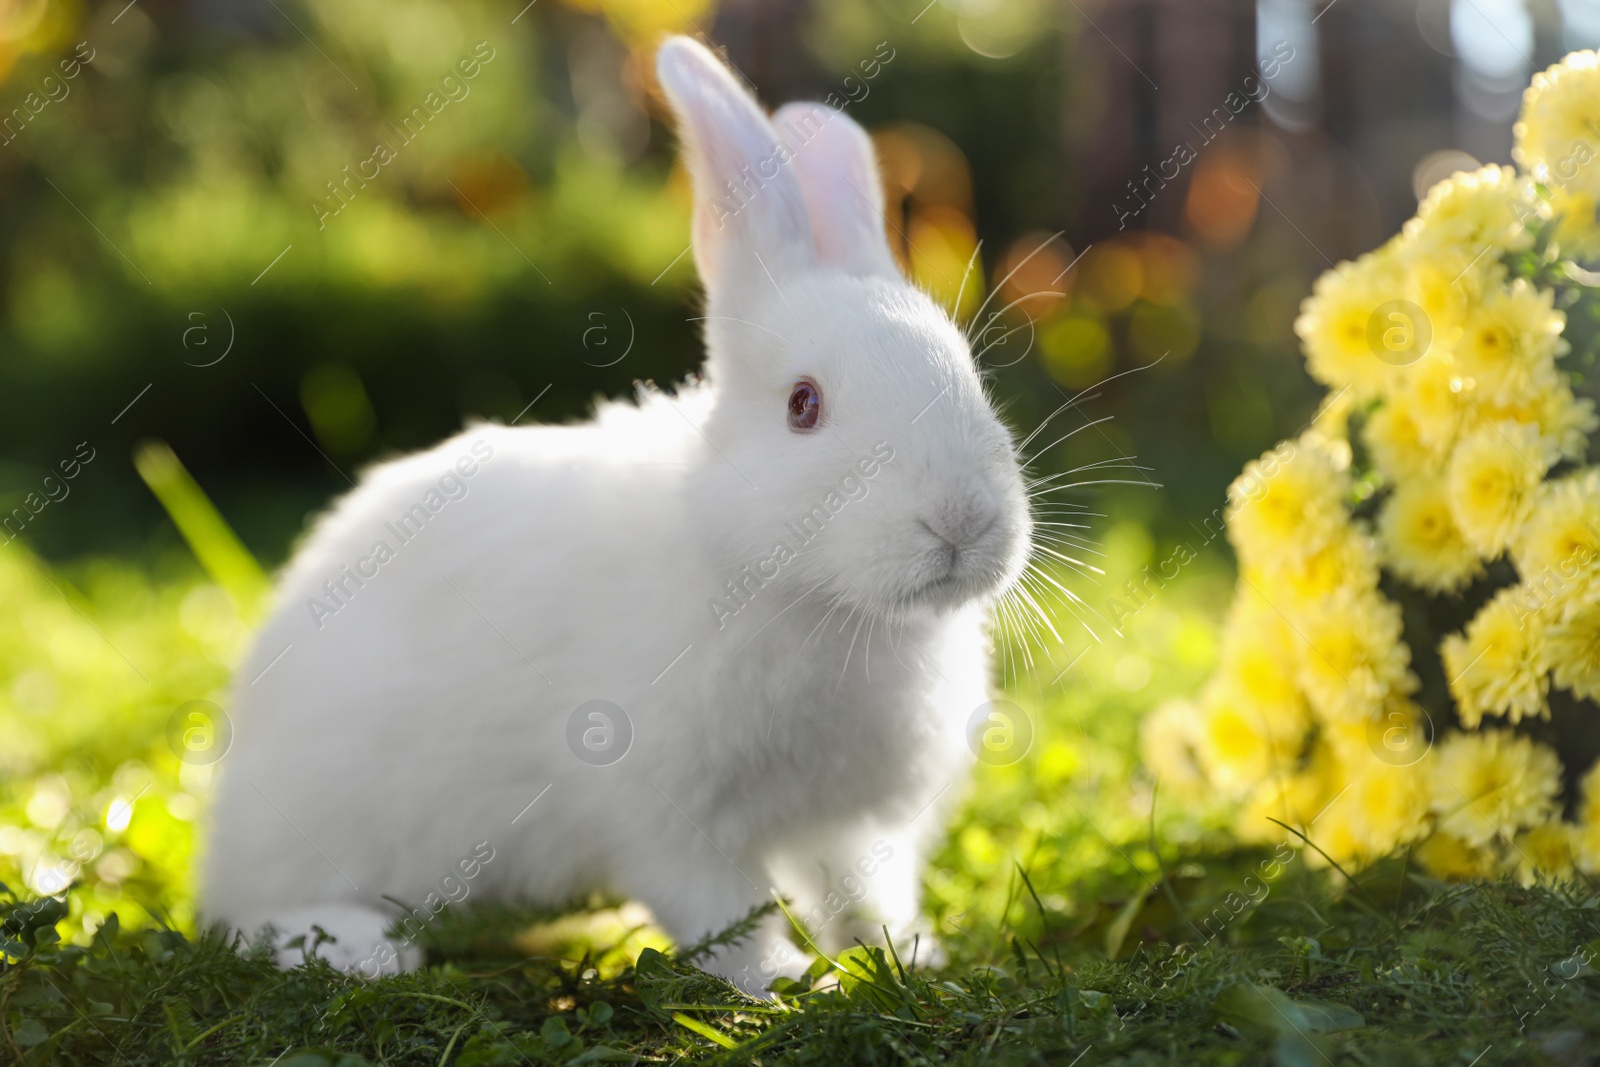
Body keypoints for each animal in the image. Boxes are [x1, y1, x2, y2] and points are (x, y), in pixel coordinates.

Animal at [203, 35, 1024, 1004]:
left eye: (969, 374)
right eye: (804, 405)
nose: (962, 522)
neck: (806, 597)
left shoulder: (854, 827)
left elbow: (864, 895)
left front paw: (907, 959)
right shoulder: (669, 817)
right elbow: (723, 912)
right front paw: (782, 983)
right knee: (254, 915)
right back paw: (360, 947)